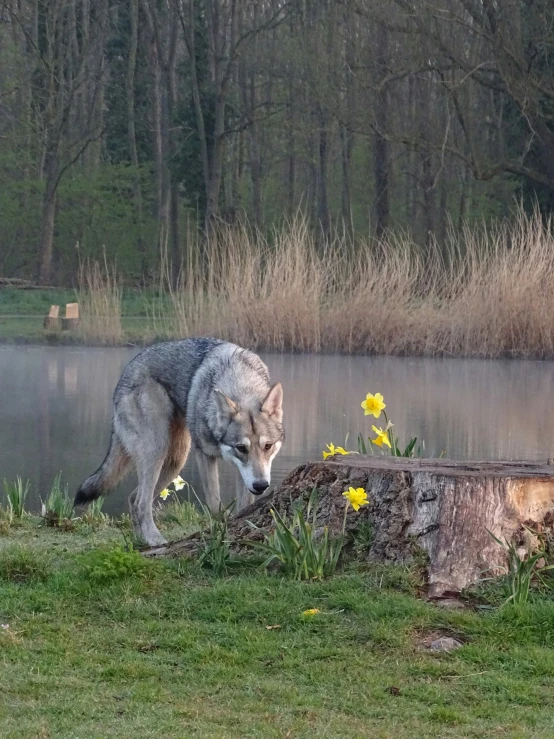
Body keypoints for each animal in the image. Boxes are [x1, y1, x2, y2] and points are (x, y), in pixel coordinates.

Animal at [75, 340, 282, 544]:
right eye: (241, 448)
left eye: (268, 446)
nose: (261, 486)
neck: (239, 381)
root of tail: (127, 370)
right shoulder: (204, 454)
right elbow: (214, 503)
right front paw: (221, 527)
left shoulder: (244, 474)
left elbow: (244, 505)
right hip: (158, 451)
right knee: (141, 503)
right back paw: (155, 541)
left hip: (175, 462)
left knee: (134, 498)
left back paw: (142, 541)